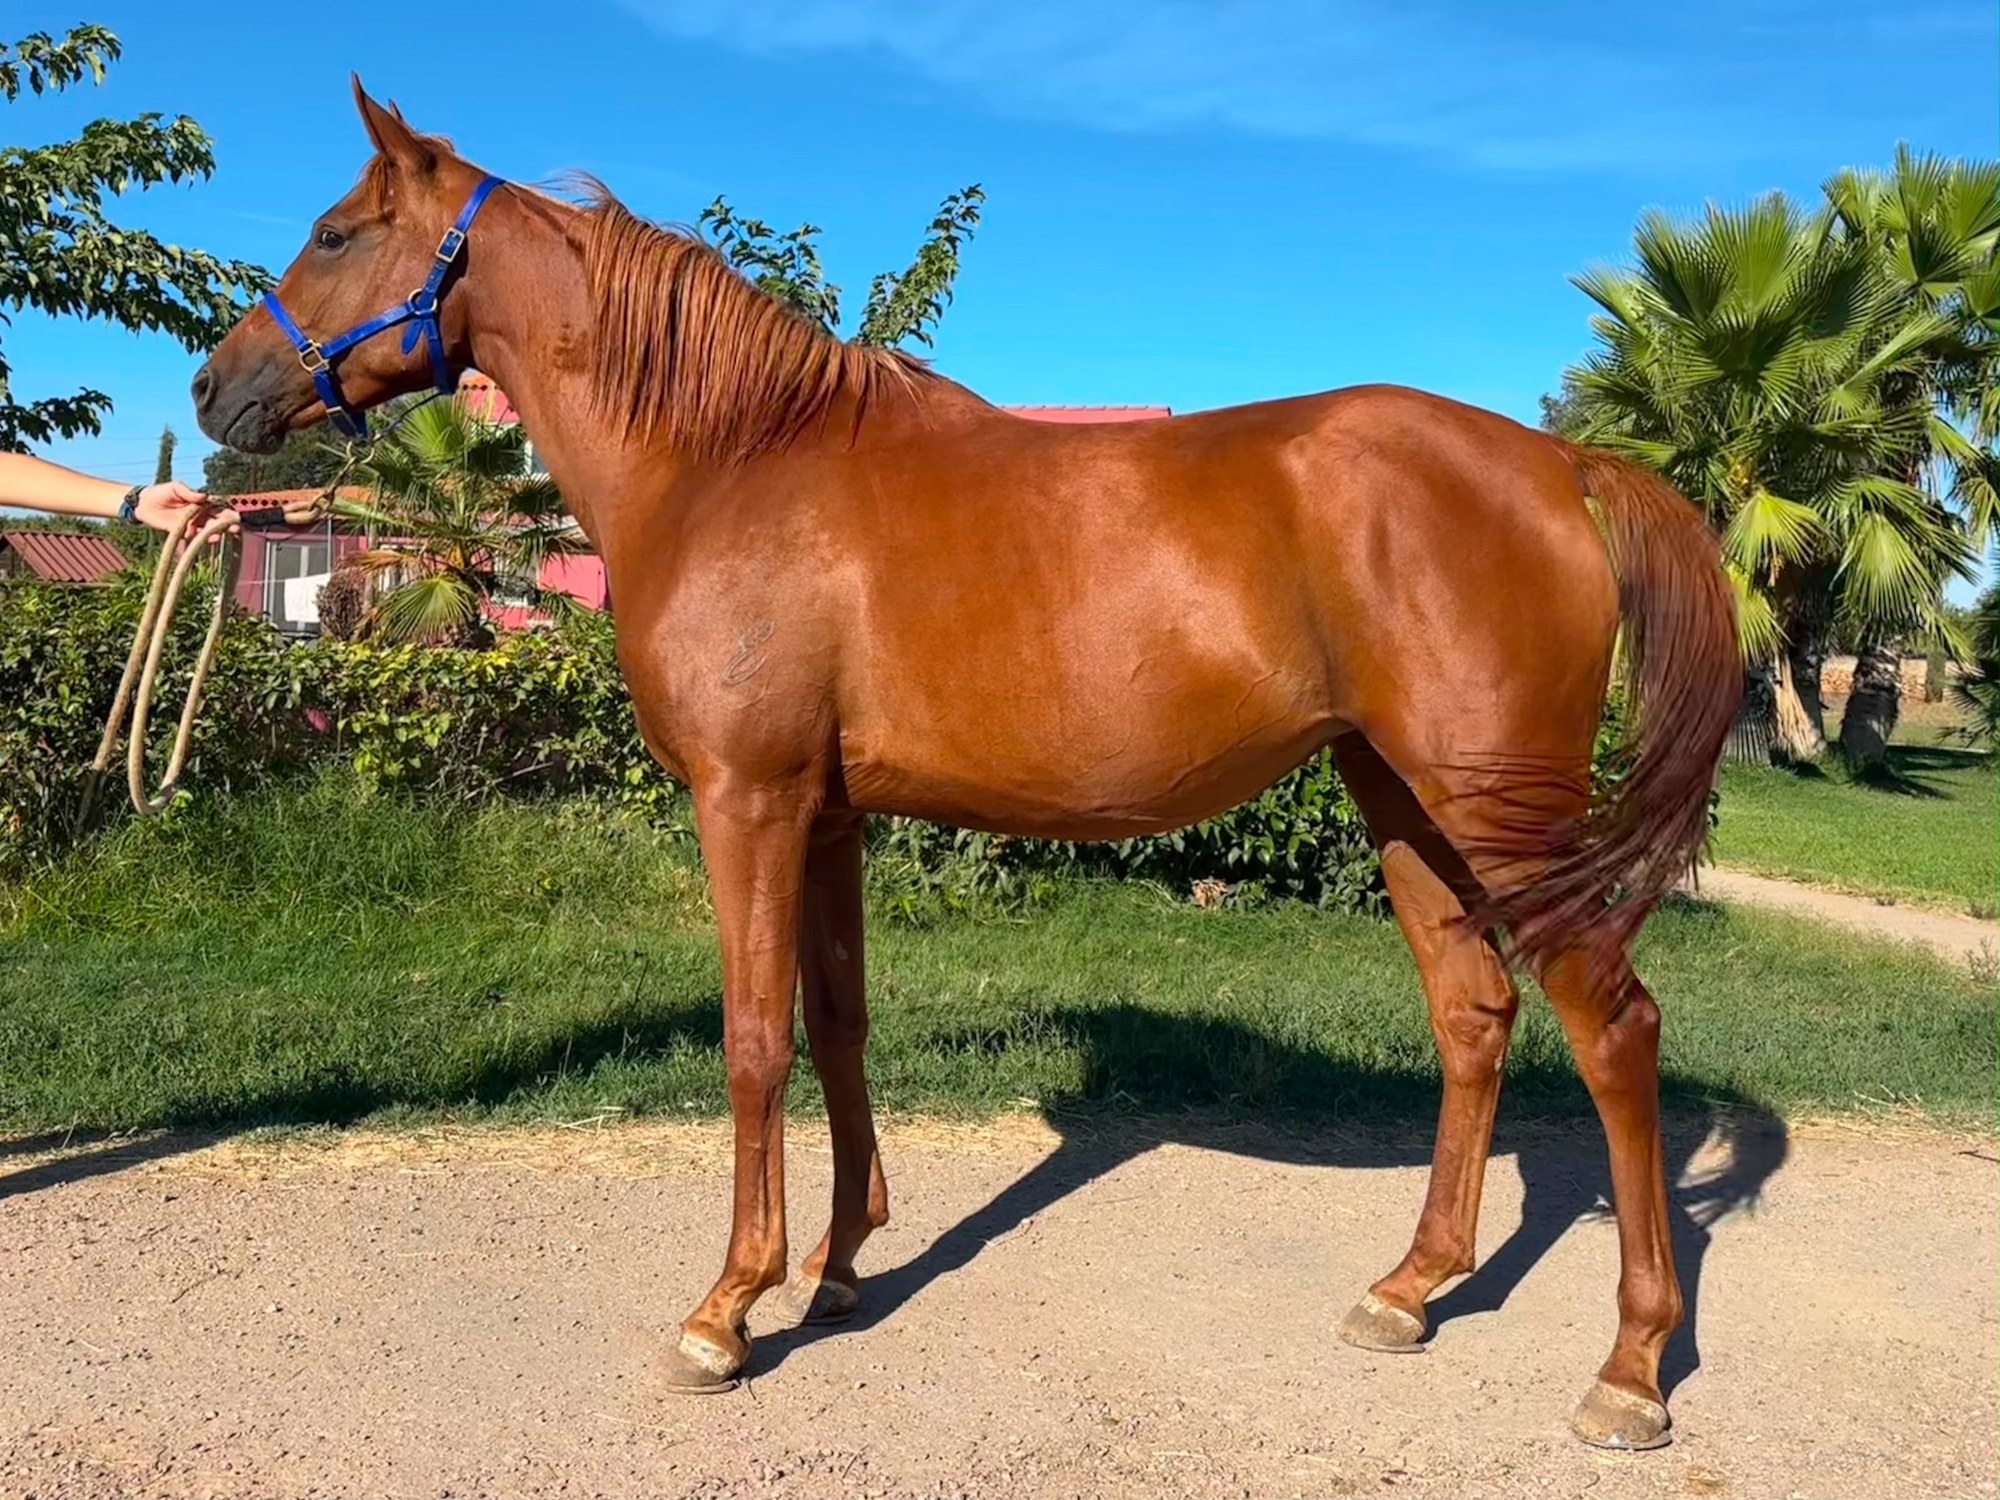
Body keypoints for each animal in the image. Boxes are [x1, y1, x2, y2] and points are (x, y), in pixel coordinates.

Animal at [193, 80, 1739, 1451]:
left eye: (335, 231)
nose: (215, 388)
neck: (733, 460)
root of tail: (1554, 463)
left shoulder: (747, 803)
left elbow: (754, 1043)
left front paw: (726, 1308)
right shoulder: (824, 817)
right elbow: (837, 1027)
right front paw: (838, 1266)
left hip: (1501, 810)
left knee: (1616, 1031)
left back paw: (1631, 1369)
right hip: (1400, 800)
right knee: (1472, 1017)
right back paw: (1409, 1291)